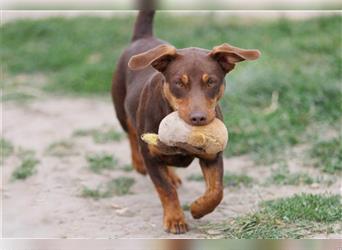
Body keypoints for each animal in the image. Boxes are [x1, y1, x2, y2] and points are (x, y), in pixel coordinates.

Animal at [112, 10, 260, 234]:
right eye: (179, 83)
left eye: (211, 82)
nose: (198, 118)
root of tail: (143, 38)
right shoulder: (151, 156)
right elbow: (165, 189)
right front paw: (175, 219)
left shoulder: (212, 156)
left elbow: (217, 190)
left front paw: (198, 208)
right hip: (121, 109)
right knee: (130, 131)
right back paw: (138, 163)